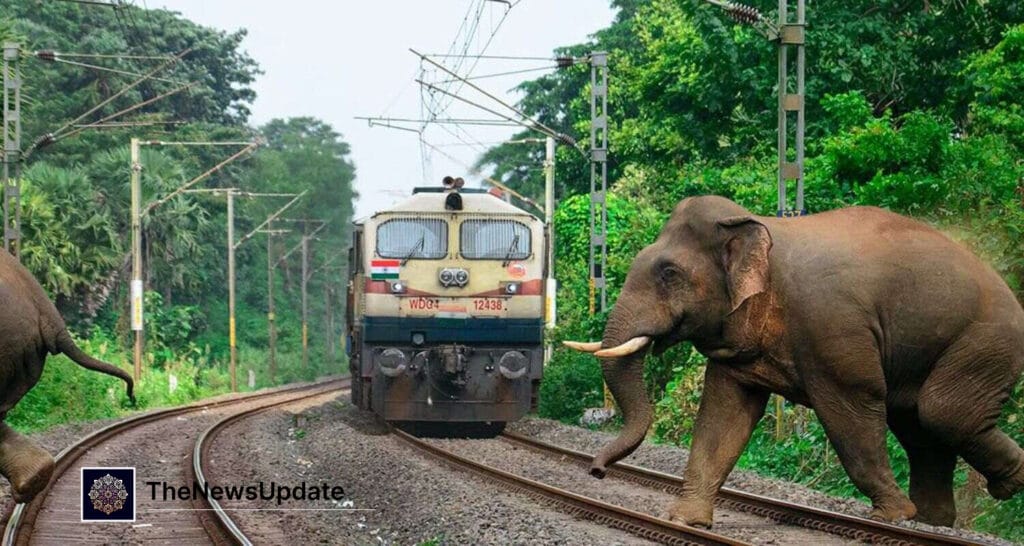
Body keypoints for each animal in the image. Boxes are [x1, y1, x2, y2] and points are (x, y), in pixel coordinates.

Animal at [566, 195, 1024, 527]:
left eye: (669, 273)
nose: (596, 472)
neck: (760, 226)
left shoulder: (832, 326)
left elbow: (851, 410)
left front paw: (892, 515)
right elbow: (724, 415)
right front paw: (686, 521)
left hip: (986, 342)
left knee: (942, 413)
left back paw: (1002, 486)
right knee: (919, 427)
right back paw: (936, 520)